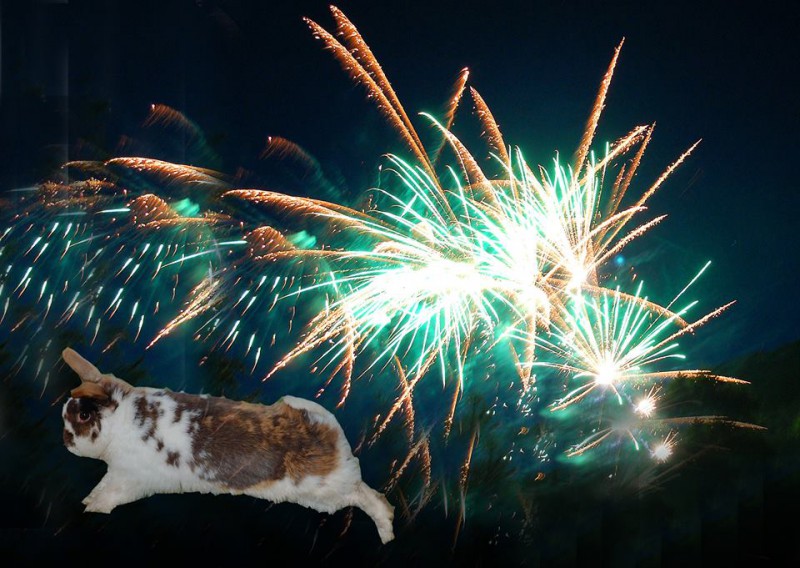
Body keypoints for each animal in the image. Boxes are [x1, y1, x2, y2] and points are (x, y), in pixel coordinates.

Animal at [61, 348, 396, 544]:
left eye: (83, 415)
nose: (66, 440)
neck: (122, 420)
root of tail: (333, 437)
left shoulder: (129, 478)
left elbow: (110, 495)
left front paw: (92, 506)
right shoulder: (117, 473)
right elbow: (102, 486)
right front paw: (89, 500)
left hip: (327, 493)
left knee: (371, 498)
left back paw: (387, 531)